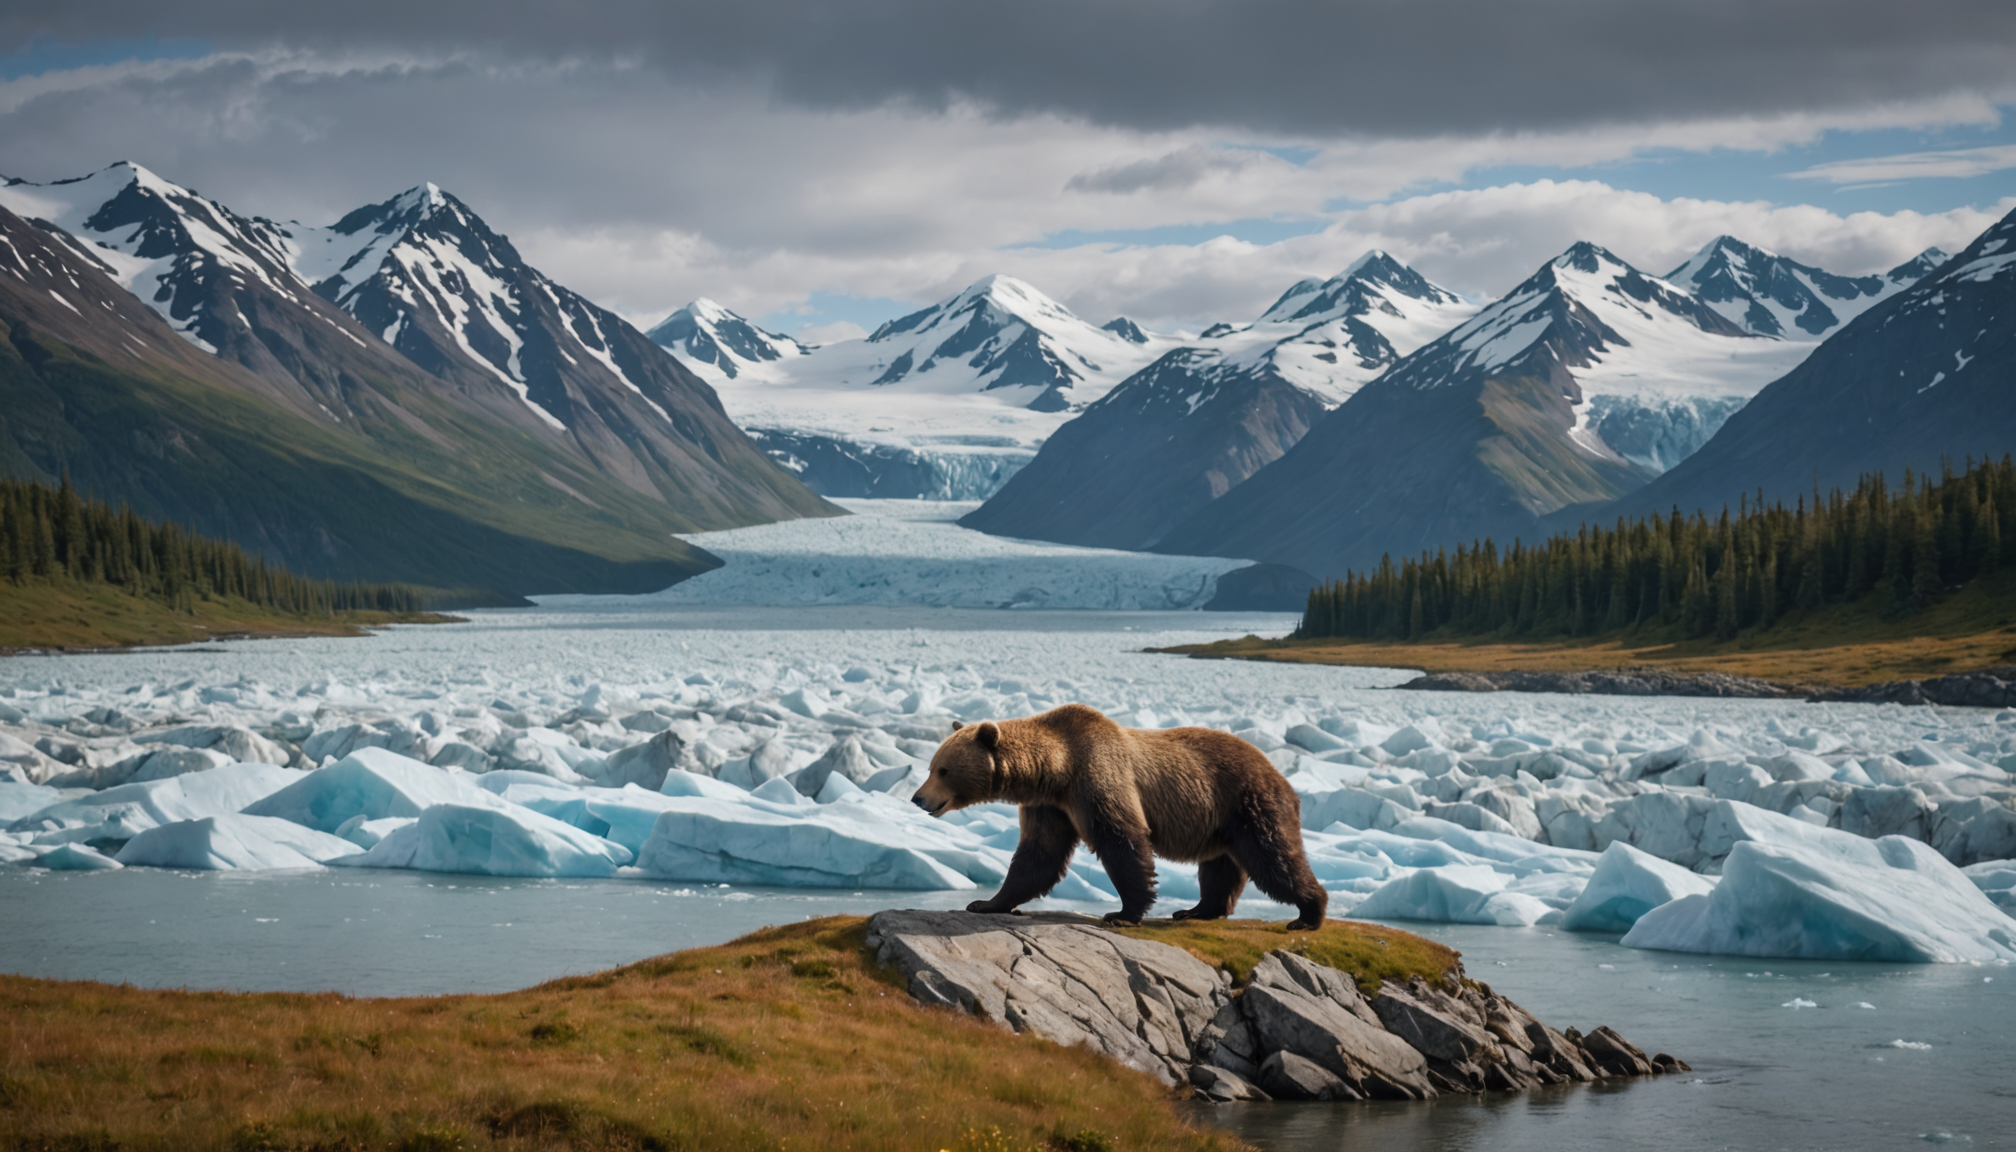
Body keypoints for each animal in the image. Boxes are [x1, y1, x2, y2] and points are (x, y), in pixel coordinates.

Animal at [911, 703, 1327, 929]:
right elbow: (1038, 856)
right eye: (931, 766)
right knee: (1219, 867)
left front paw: (1123, 912)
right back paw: (1194, 910)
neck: (1056, 770)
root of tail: (1280, 773)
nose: (918, 798)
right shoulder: (1050, 806)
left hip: (1246, 802)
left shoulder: (1096, 776)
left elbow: (1120, 839)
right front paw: (986, 903)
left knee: (1273, 857)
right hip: (1218, 821)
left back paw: (1308, 912)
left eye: (943, 770)